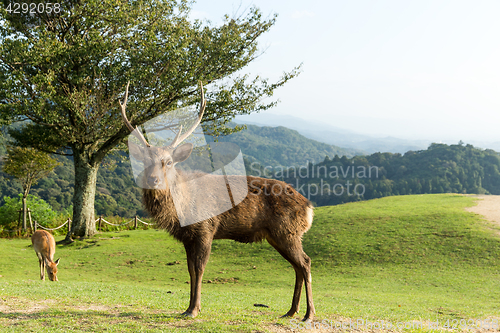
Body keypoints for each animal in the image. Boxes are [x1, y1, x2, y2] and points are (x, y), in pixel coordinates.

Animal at [121, 81, 314, 320]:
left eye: (169, 162)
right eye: (146, 161)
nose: (153, 179)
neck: (182, 208)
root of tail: (309, 207)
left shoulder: (206, 228)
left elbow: (200, 268)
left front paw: (194, 309)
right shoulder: (188, 237)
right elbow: (189, 269)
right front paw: (187, 308)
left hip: (288, 231)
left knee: (305, 263)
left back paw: (309, 314)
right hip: (278, 235)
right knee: (297, 266)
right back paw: (291, 311)